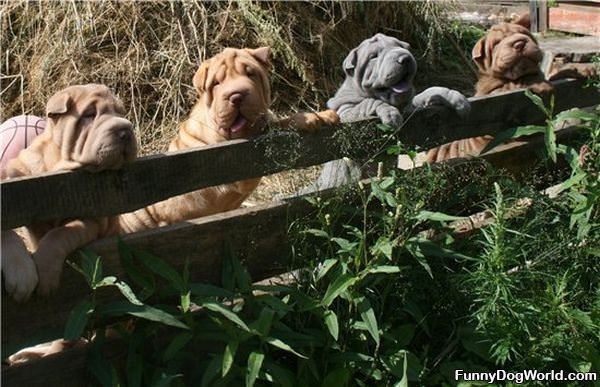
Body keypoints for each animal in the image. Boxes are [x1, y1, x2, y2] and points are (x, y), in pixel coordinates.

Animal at [0, 84, 136, 300]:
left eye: (121, 113)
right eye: (89, 114)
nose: (126, 130)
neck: (56, 167)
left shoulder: (92, 220)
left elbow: (60, 233)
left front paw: (45, 274)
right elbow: (7, 231)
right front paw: (22, 273)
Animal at [119, 46, 340, 233]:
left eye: (251, 74)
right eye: (216, 84)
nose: (236, 96)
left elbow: (276, 122)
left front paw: (321, 115)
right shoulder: (233, 163)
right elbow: (270, 130)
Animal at [312, 32, 472, 190]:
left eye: (401, 46)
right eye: (373, 56)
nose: (405, 58)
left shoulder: (410, 108)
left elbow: (427, 92)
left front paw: (453, 97)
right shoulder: (345, 113)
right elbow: (368, 103)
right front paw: (390, 114)